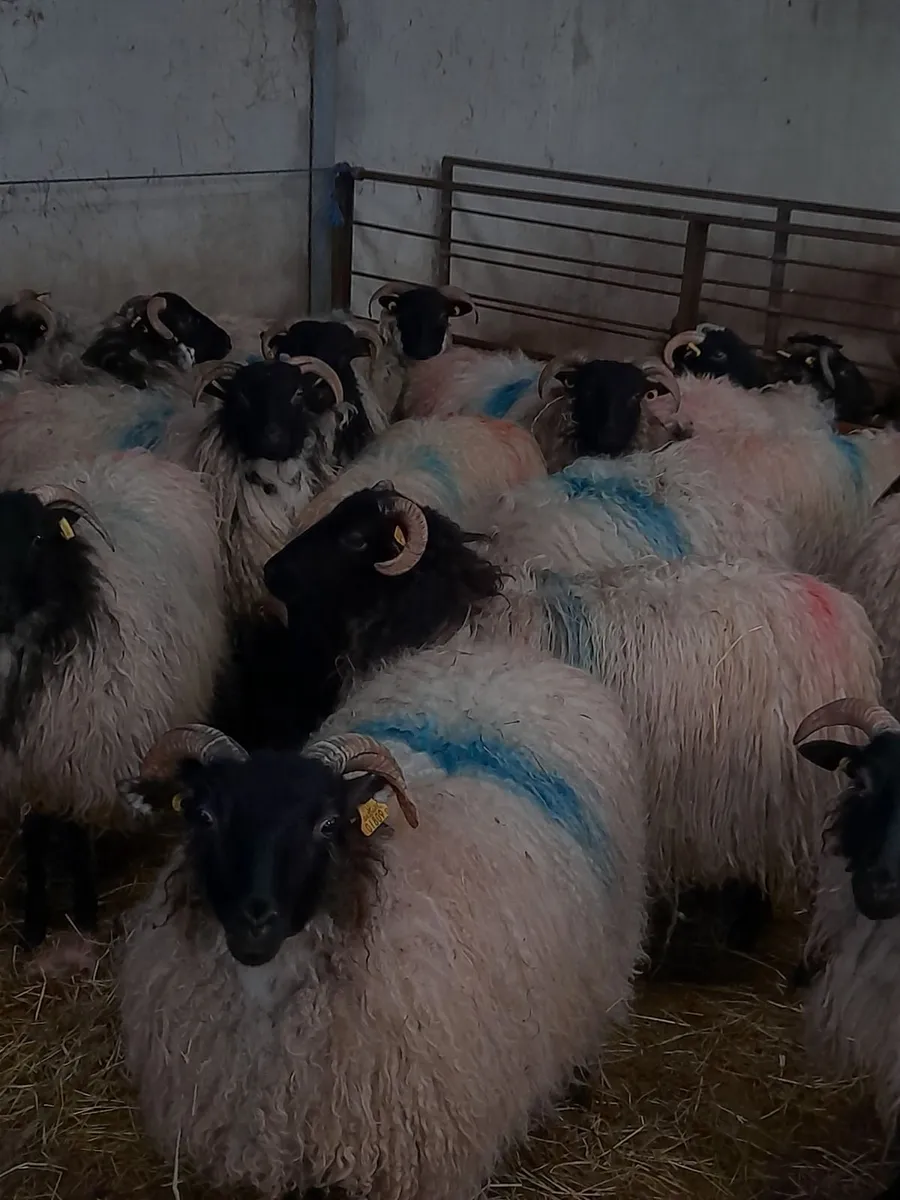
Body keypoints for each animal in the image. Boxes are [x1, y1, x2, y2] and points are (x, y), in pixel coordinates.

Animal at [0, 450, 227, 952]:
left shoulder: (81, 753)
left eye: (39, 538)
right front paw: (33, 927)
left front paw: (84, 912)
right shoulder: (25, 770)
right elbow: (33, 841)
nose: (0, 604)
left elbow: (75, 835)